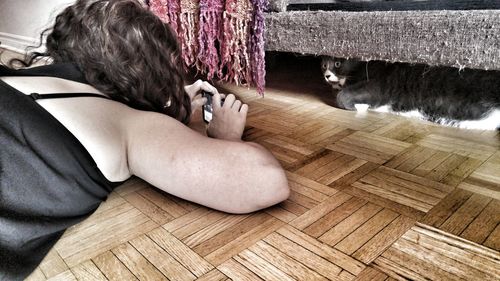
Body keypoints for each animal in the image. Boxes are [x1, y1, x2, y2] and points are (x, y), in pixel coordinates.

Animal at [320, 57, 500, 131]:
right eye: (323, 65)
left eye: (338, 63)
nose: (326, 75)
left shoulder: (377, 86)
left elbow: (342, 96)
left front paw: (357, 107)